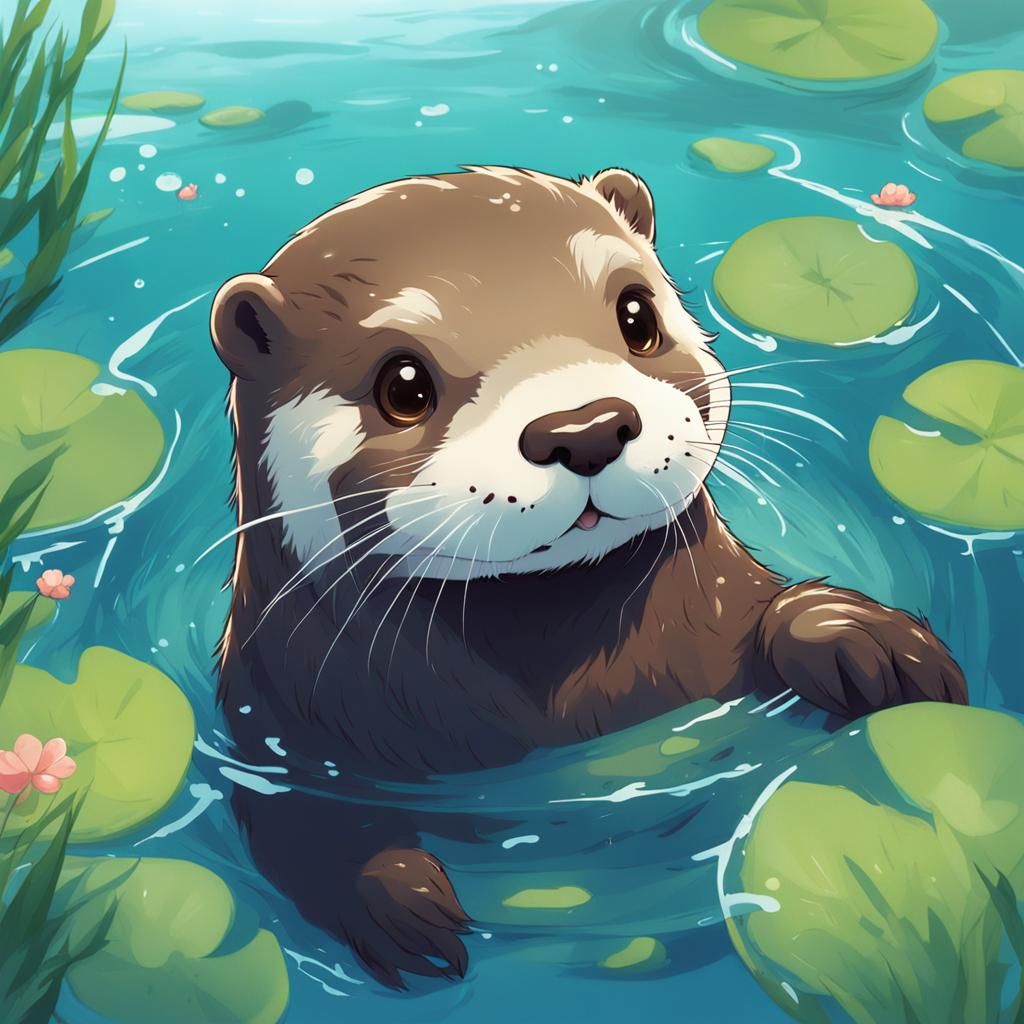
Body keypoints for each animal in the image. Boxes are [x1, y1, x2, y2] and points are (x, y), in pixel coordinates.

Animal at [210, 166, 967, 988]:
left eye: (637, 314)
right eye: (403, 385)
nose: (585, 428)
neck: (575, 697)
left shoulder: (718, 622)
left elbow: (778, 617)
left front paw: (871, 641)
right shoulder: (279, 724)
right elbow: (299, 821)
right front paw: (396, 898)